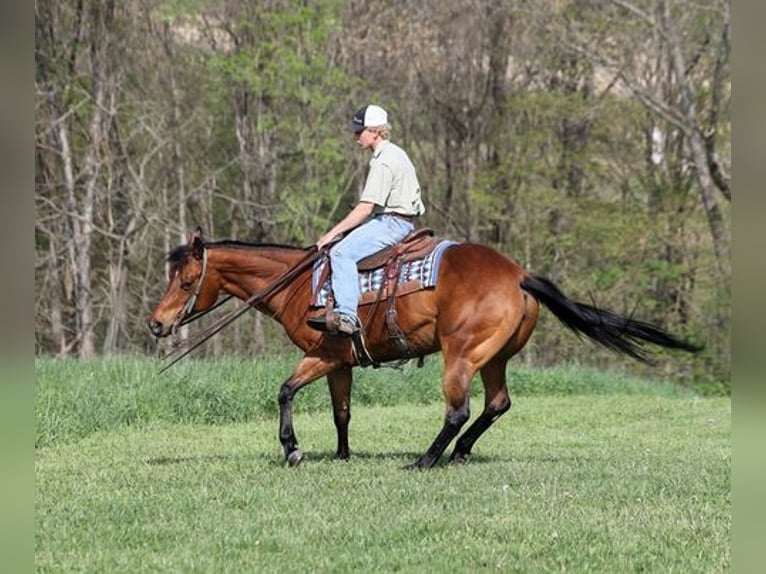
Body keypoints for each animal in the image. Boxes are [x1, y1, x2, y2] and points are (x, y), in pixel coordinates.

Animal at [148, 228, 701, 469]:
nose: (157, 324)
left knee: (459, 410)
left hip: (461, 356)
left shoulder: (324, 354)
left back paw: (426, 460)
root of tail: (518, 275)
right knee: (497, 404)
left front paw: (292, 449)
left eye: (186, 280)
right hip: (494, 358)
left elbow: (285, 391)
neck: (302, 284)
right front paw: (342, 455)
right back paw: (459, 454)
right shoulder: (342, 362)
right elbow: (342, 411)